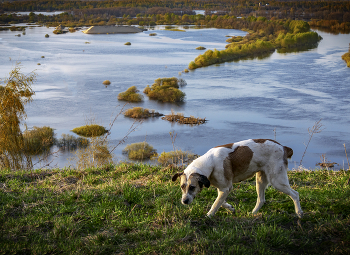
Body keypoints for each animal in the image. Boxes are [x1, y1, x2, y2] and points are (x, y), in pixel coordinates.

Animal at [173, 139, 304, 217]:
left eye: (192, 187)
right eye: (182, 187)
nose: (184, 201)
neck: (210, 162)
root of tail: (283, 147)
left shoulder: (225, 188)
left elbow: (215, 204)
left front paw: (208, 216)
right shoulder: (223, 188)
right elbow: (221, 201)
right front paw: (230, 208)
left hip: (277, 181)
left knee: (295, 194)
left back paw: (299, 213)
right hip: (260, 180)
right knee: (261, 199)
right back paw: (253, 214)